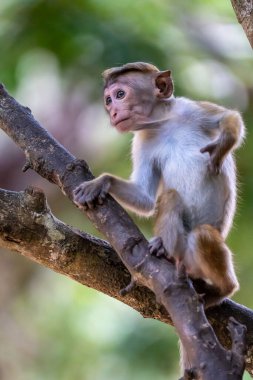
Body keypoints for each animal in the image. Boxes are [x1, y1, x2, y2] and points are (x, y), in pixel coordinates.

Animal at [72, 62, 245, 310]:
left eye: (120, 95)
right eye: (108, 100)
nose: (113, 112)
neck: (162, 124)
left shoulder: (188, 108)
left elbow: (229, 117)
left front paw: (222, 146)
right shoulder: (141, 142)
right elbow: (145, 197)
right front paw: (102, 182)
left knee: (202, 235)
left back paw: (223, 289)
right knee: (170, 197)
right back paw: (165, 250)